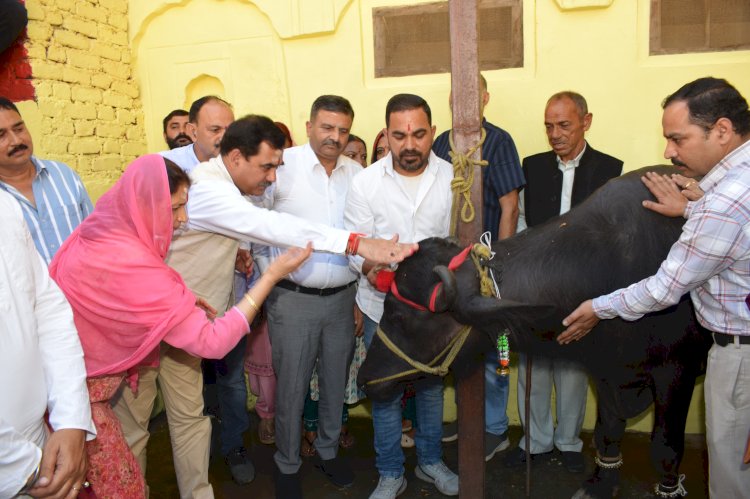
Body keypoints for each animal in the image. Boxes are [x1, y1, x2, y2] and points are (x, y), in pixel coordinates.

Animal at [358, 167, 712, 496]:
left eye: (399, 316)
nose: (364, 378)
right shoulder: (606, 371)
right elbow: (609, 431)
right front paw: (600, 484)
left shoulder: (676, 373)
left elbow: (665, 449)